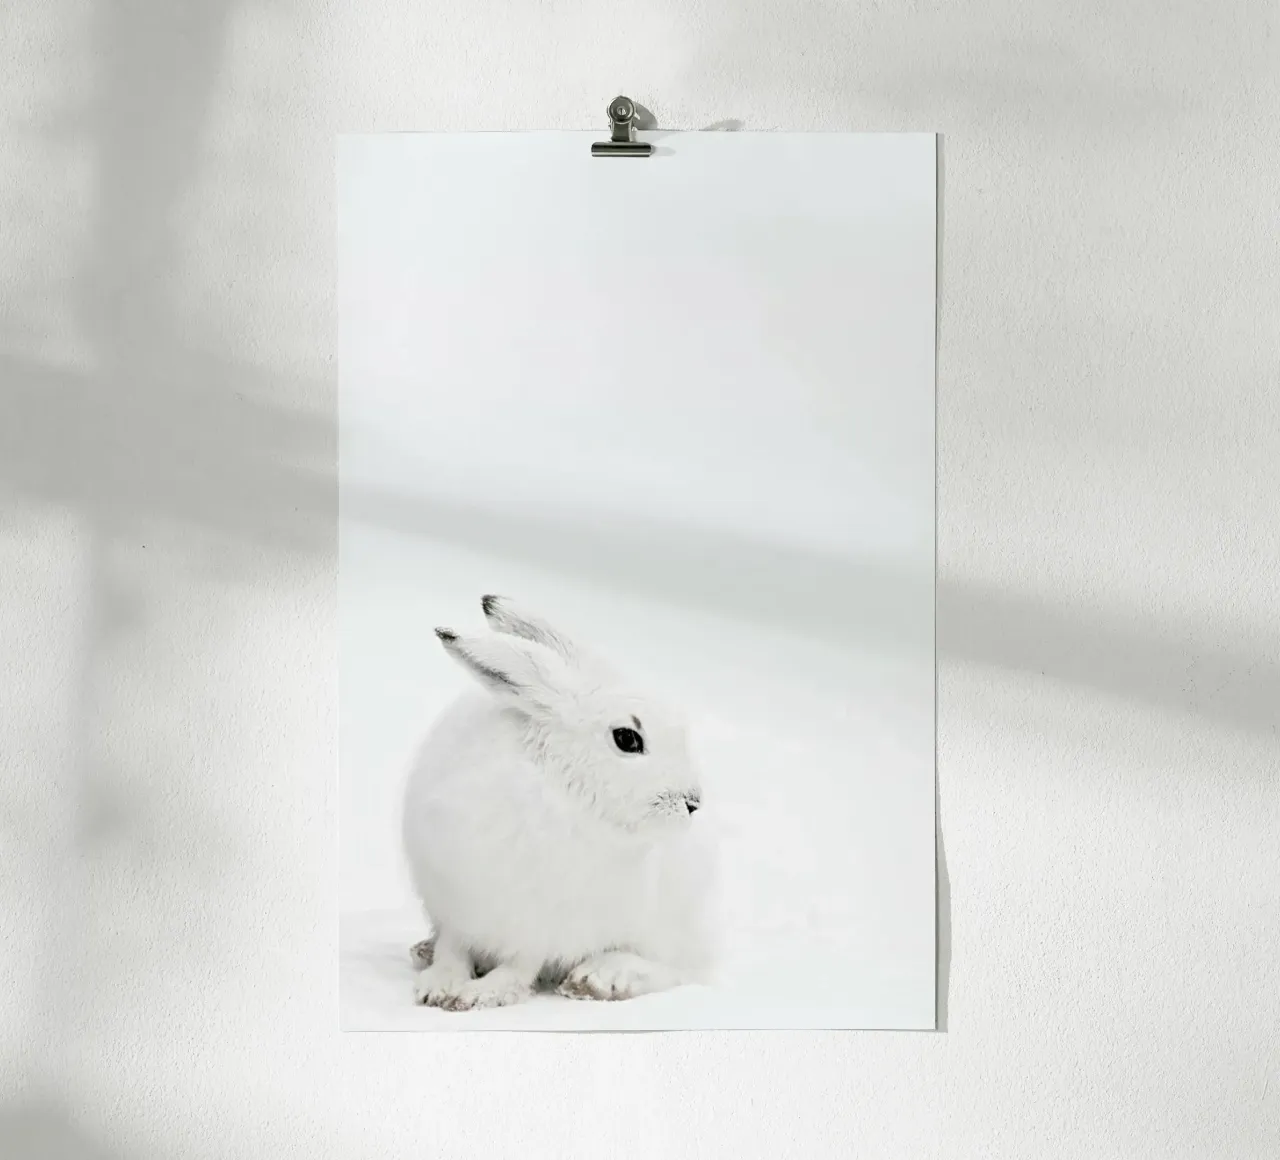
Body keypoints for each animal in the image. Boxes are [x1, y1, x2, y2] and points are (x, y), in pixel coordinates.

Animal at [402, 595, 718, 1011]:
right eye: (627, 738)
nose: (692, 802)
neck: (556, 788)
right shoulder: (457, 904)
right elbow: (453, 949)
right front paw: (439, 985)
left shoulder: (543, 926)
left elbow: (521, 966)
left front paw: (481, 994)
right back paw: (423, 949)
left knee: (678, 970)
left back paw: (601, 979)